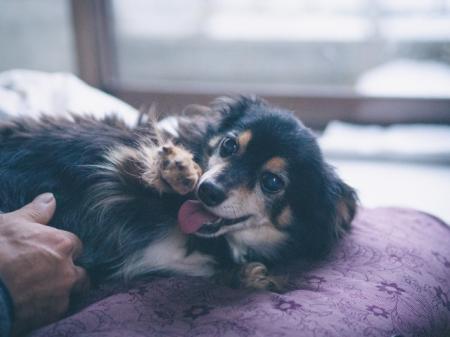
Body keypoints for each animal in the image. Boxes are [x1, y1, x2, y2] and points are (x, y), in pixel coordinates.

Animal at [0, 96, 358, 290]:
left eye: (272, 182)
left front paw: (254, 277)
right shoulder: (117, 163)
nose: (208, 191)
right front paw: (178, 170)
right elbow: (145, 158)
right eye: (229, 145)